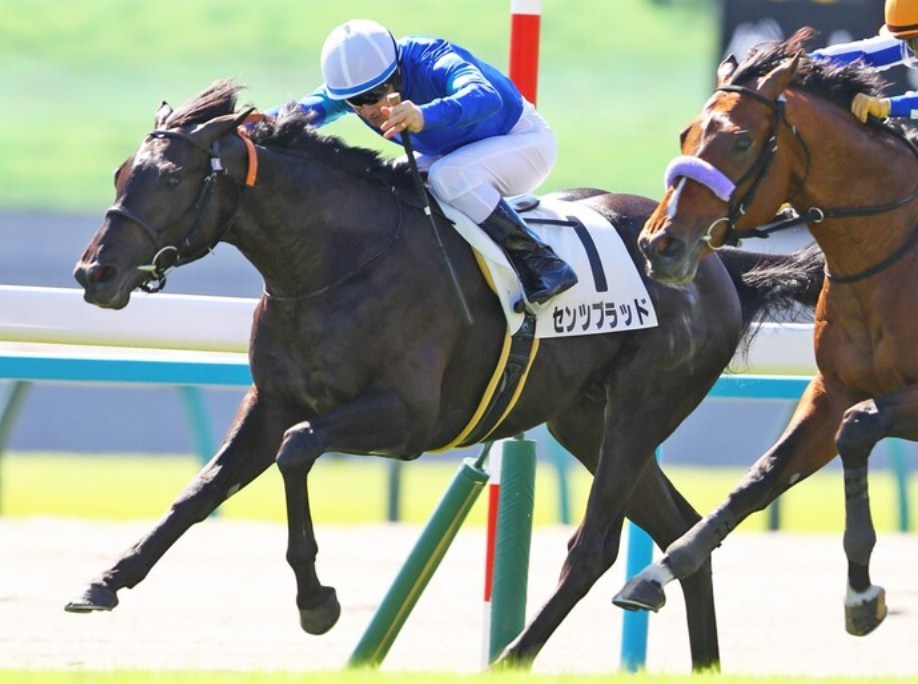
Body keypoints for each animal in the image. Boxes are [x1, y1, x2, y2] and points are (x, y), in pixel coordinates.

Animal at [69, 80, 823, 671]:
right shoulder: (271, 402)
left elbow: (298, 451)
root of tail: (716, 262)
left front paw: (317, 603)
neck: (336, 262)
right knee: (682, 531)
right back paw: (702, 664)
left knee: (594, 549)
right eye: (119, 173)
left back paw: (511, 657)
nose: (93, 273)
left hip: (643, 407)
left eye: (171, 179)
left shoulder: (406, 418)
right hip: (585, 419)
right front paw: (105, 581)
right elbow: (199, 491)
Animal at [615, 27, 918, 639]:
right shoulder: (832, 390)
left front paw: (860, 595)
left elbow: (857, 430)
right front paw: (660, 571)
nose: (659, 244)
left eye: (740, 142)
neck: (888, 256)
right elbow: (763, 476)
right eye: (686, 132)